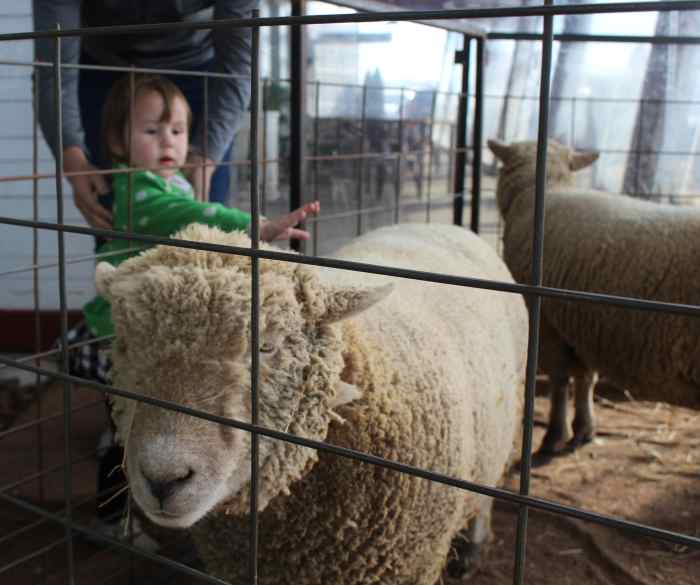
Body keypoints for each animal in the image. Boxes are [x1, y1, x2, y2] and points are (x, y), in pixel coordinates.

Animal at [488, 138, 700, 460]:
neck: (545, 190)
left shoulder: (547, 322)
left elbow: (560, 380)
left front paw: (554, 436)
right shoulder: (583, 326)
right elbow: (586, 378)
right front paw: (584, 430)